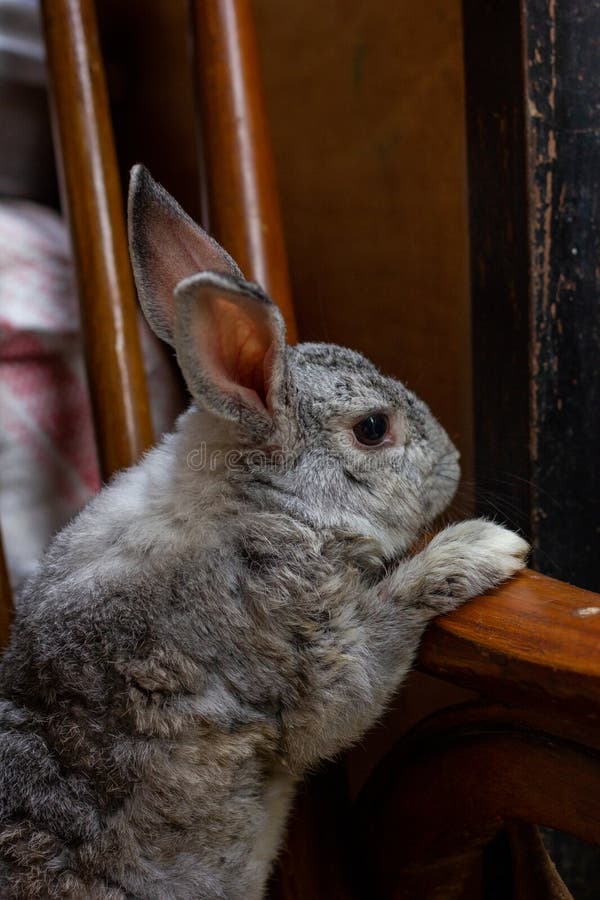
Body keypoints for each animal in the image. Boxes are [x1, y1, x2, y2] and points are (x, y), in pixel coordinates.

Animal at [0, 167, 524, 892]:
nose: (452, 462)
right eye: (372, 429)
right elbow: (366, 658)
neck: (255, 502)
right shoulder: (314, 649)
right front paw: (481, 547)